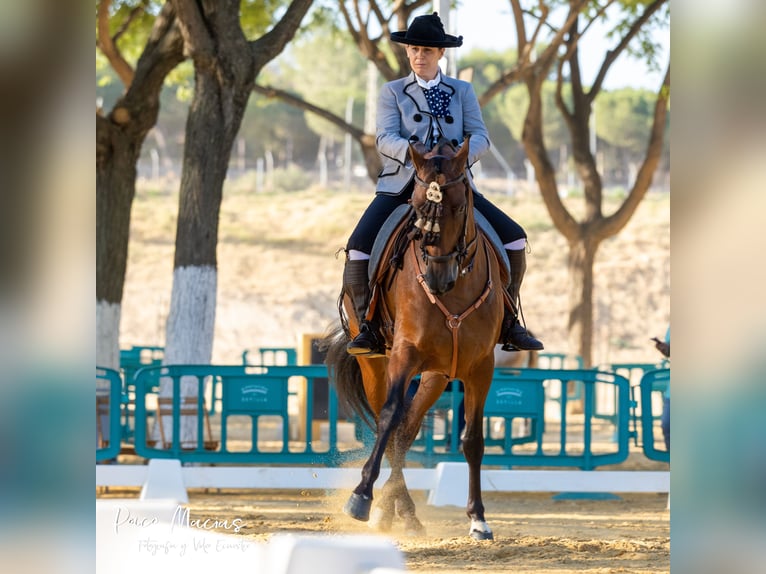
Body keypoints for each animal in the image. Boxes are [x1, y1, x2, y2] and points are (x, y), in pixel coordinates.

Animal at [326, 137, 510, 544]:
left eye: (460, 206)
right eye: (415, 206)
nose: (438, 277)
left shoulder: (480, 367)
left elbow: (473, 440)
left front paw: (478, 518)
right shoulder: (403, 355)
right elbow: (388, 419)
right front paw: (360, 497)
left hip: (436, 376)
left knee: (407, 430)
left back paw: (400, 511)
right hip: (375, 366)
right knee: (393, 425)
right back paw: (390, 507)